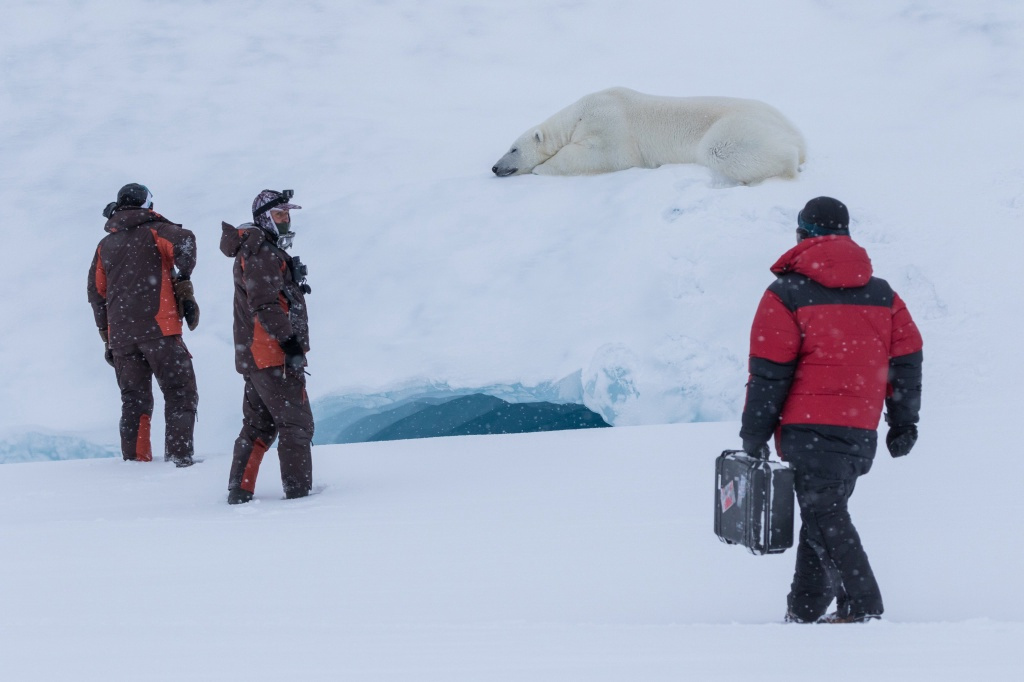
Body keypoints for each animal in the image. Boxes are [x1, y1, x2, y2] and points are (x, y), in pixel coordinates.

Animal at [491, 86, 802, 184]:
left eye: (513, 149)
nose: (495, 167)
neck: (579, 113)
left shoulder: (609, 124)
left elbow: (603, 155)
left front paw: (540, 169)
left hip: (736, 125)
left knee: (720, 149)